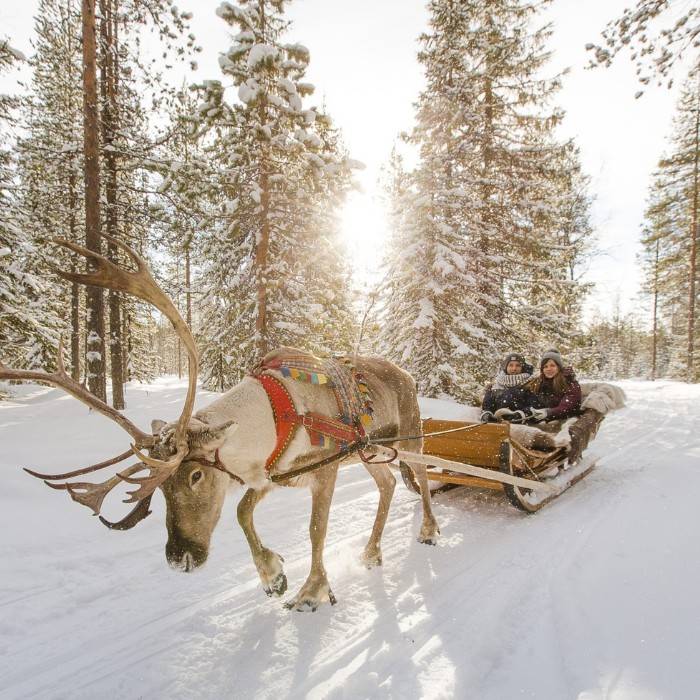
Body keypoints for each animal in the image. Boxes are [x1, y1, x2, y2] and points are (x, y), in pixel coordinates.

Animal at [0, 237, 440, 611]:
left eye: (195, 475)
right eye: (160, 489)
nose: (180, 558)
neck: (276, 415)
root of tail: (406, 372)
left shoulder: (323, 470)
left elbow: (316, 529)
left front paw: (312, 590)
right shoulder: (270, 473)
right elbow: (242, 512)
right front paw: (272, 574)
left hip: (410, 438)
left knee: (421, 476)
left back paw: (429, 530)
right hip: (372, 454)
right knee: (388, 484)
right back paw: (371, 552)